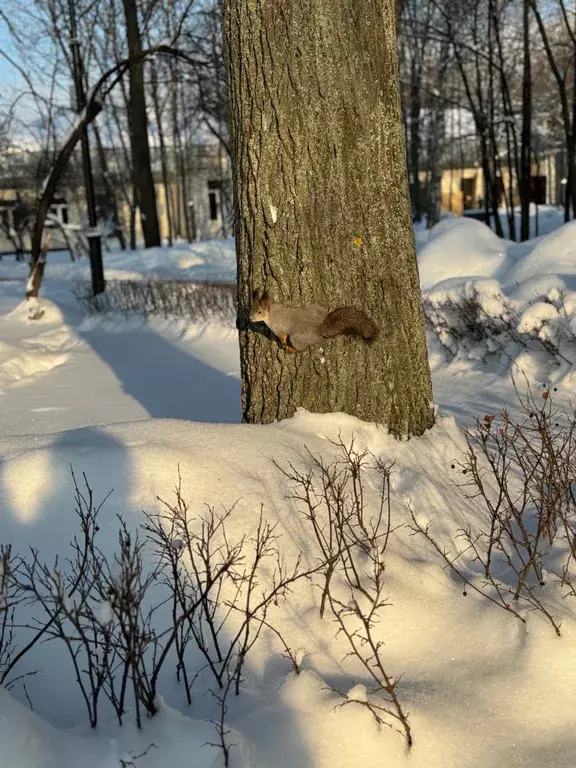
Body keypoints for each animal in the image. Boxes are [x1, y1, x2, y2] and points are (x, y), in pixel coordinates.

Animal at [248, 288, 378, 352]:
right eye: (251, 308)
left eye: (259, 312)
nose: (250, 318)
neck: (271, 313)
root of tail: (318, 329)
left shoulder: (278, 328)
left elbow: (282, 337)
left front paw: (283, 344)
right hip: (313, 308)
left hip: (296, 338)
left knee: (302, 349)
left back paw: (292, 349)